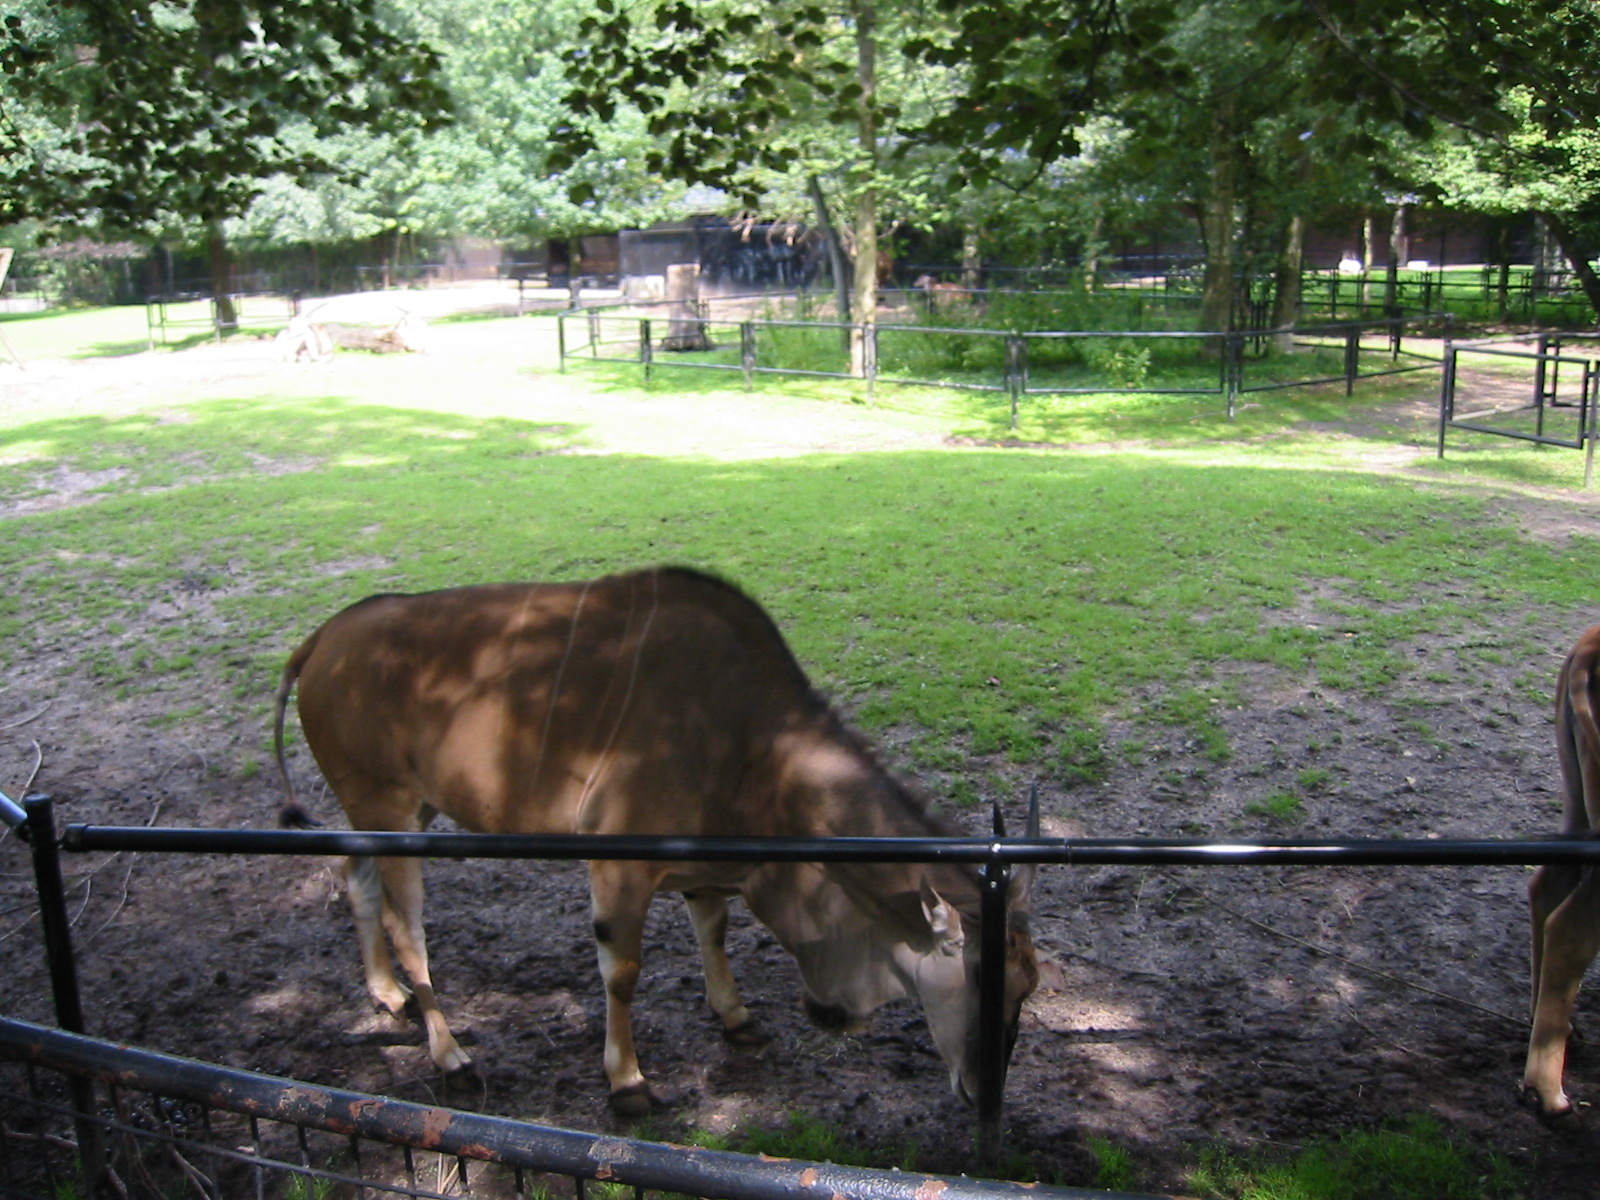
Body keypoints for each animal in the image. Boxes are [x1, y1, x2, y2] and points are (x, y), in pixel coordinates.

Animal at [273, 567, 1042, 1115]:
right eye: (981, 977)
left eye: (1028, 988)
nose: (984, 1092)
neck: (756, 742)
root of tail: (320, 640)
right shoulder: (620, 868)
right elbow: (623, 972)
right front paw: (628, 1083)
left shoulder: (705, 864)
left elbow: (714, 932)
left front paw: (736, 1018)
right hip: (389, 808)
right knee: (408, 925)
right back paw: (451, 1056)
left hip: (396, 811)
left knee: (350, 876)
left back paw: (387, 995)